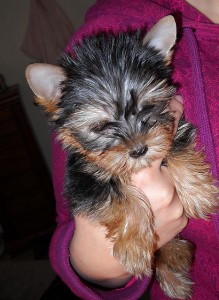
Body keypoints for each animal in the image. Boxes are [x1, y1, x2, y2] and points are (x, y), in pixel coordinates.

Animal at [25, 17, 217, 300]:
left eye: (148, 107)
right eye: (101, 126)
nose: (139, 150)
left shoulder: (171, 128)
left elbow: (175, 146)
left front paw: (198, 192)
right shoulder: (84, 179)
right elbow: (121, 199)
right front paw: (135, 247)